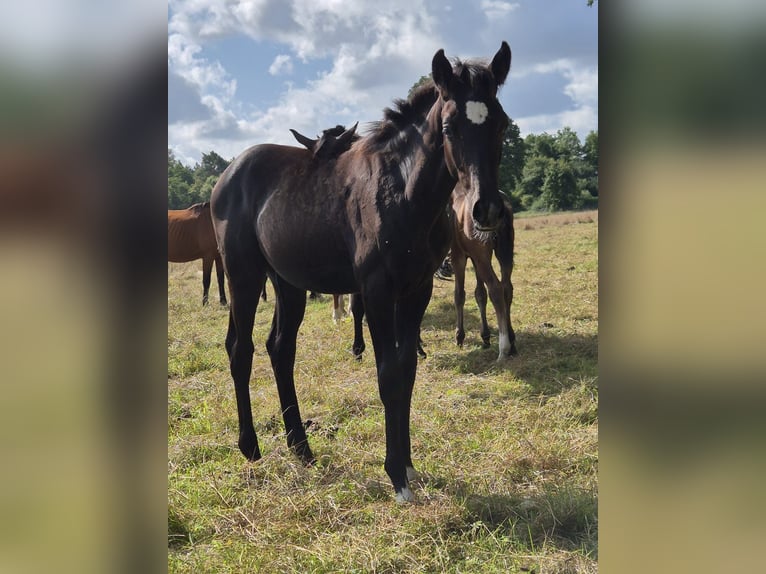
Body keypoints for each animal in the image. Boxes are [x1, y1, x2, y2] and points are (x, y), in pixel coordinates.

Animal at [451, 184, 517, 359]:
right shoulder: (475, 257)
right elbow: (480, 293)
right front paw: (485, 336)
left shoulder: (458, 256)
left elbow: (459, 295)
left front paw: (459, 336)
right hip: (502, 253)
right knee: (507, 288)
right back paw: (512, 340)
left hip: (482, 257)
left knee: (496, 288)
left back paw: (503, 348)